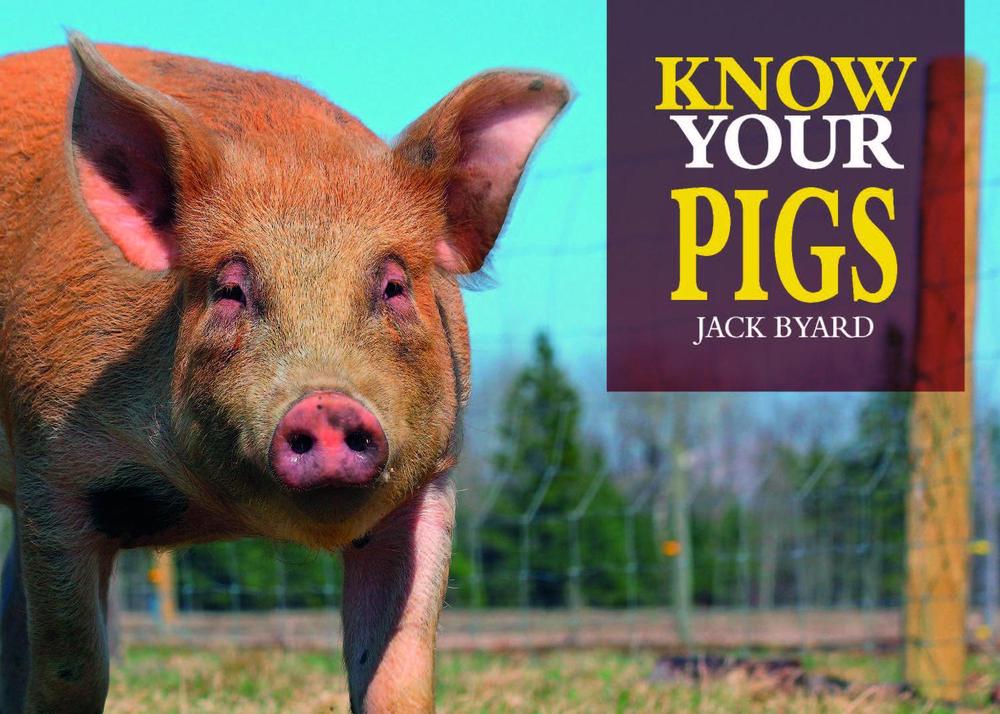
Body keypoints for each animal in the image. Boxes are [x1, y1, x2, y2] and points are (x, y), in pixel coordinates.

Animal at [0, 33, 568, 713]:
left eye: (395, 286)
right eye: (230, 291)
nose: (325, 404)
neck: (214, 515)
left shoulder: (434, 480)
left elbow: (400, 672)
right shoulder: (50, 465)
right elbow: (73, 668)